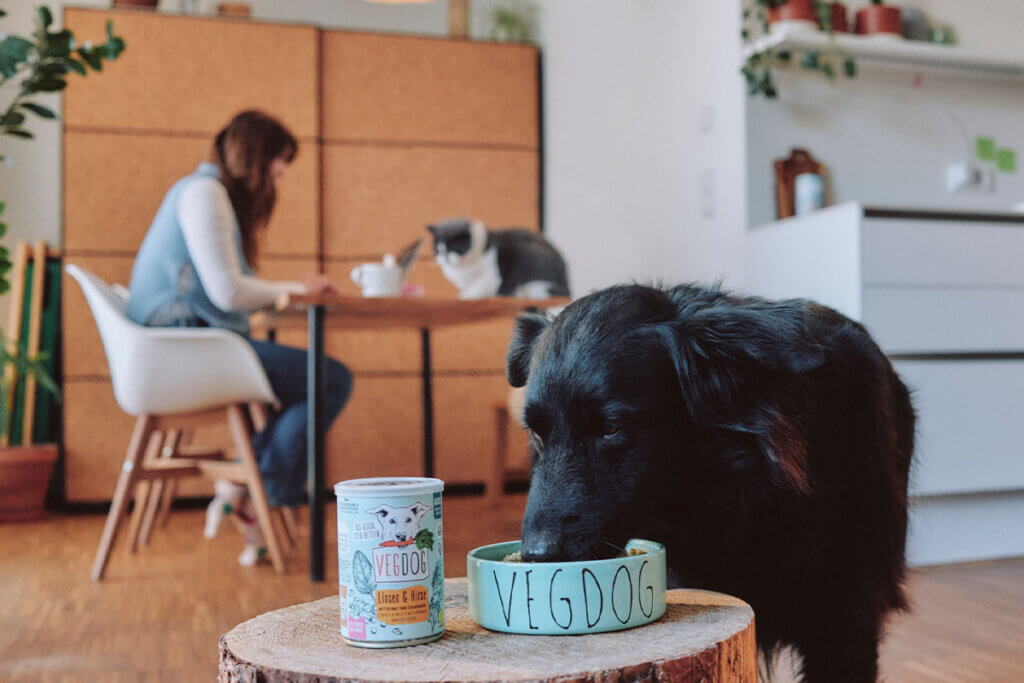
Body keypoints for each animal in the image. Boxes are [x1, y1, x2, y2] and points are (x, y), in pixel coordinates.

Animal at [423, 219, 569, 299]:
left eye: (455, 247)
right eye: (438, 248)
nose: (445, 257)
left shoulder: (491, 275)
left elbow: (478, 287)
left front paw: (466, 296)